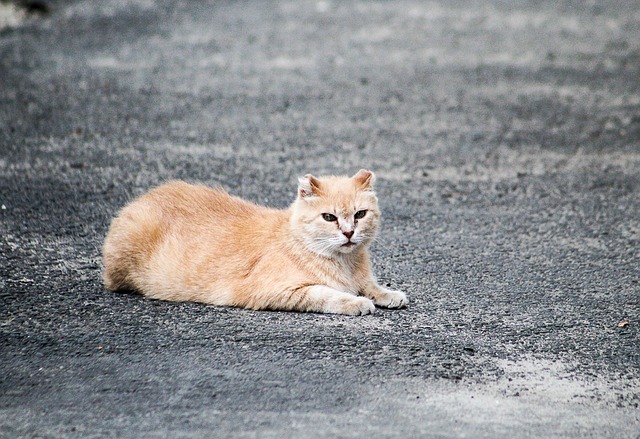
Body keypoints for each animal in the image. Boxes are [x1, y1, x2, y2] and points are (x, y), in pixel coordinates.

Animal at [102, 169, 408, 316]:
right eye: (329, 217)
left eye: (360, 214)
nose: (348, 233)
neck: (346, 263)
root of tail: (143, 198)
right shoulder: (277, 291)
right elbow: (327, 293)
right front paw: (355, 302)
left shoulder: (362, 278)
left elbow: (371, 286)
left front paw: (387, 294)